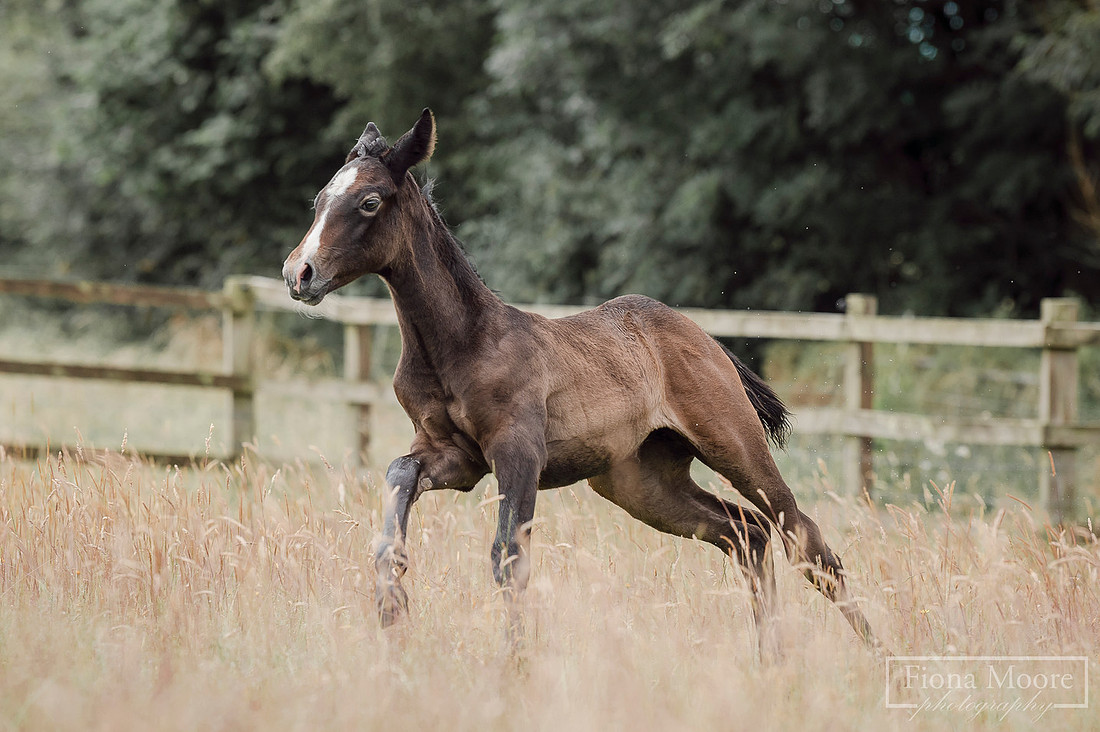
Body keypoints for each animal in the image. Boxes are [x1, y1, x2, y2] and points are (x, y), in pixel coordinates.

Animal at [281, 109, 878, 651]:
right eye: (318, 199)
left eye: (369, 202)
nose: (298, 273)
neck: (461, 343)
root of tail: (702, 336)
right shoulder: (453, 456)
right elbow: (398, 481)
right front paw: (393, 610)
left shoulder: (519, 452)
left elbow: (509, 559)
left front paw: (515, 665)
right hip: (641, 482)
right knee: (745, 533)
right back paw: (770, 658)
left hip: (731, 441)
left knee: (802, 536)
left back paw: (874, 653)